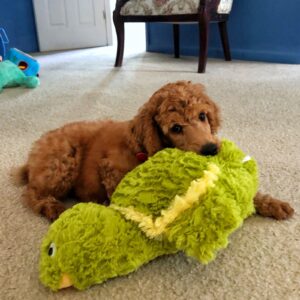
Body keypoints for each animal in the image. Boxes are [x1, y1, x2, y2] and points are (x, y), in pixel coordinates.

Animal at [14, 81, 292, 221]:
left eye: (203, 116)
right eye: (176, 128)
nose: (211, 148)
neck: (144, 150)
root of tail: (31, 159)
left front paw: (272, 203)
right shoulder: (110, 167)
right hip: (63, 161)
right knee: (31, 193)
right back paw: (52, 208)